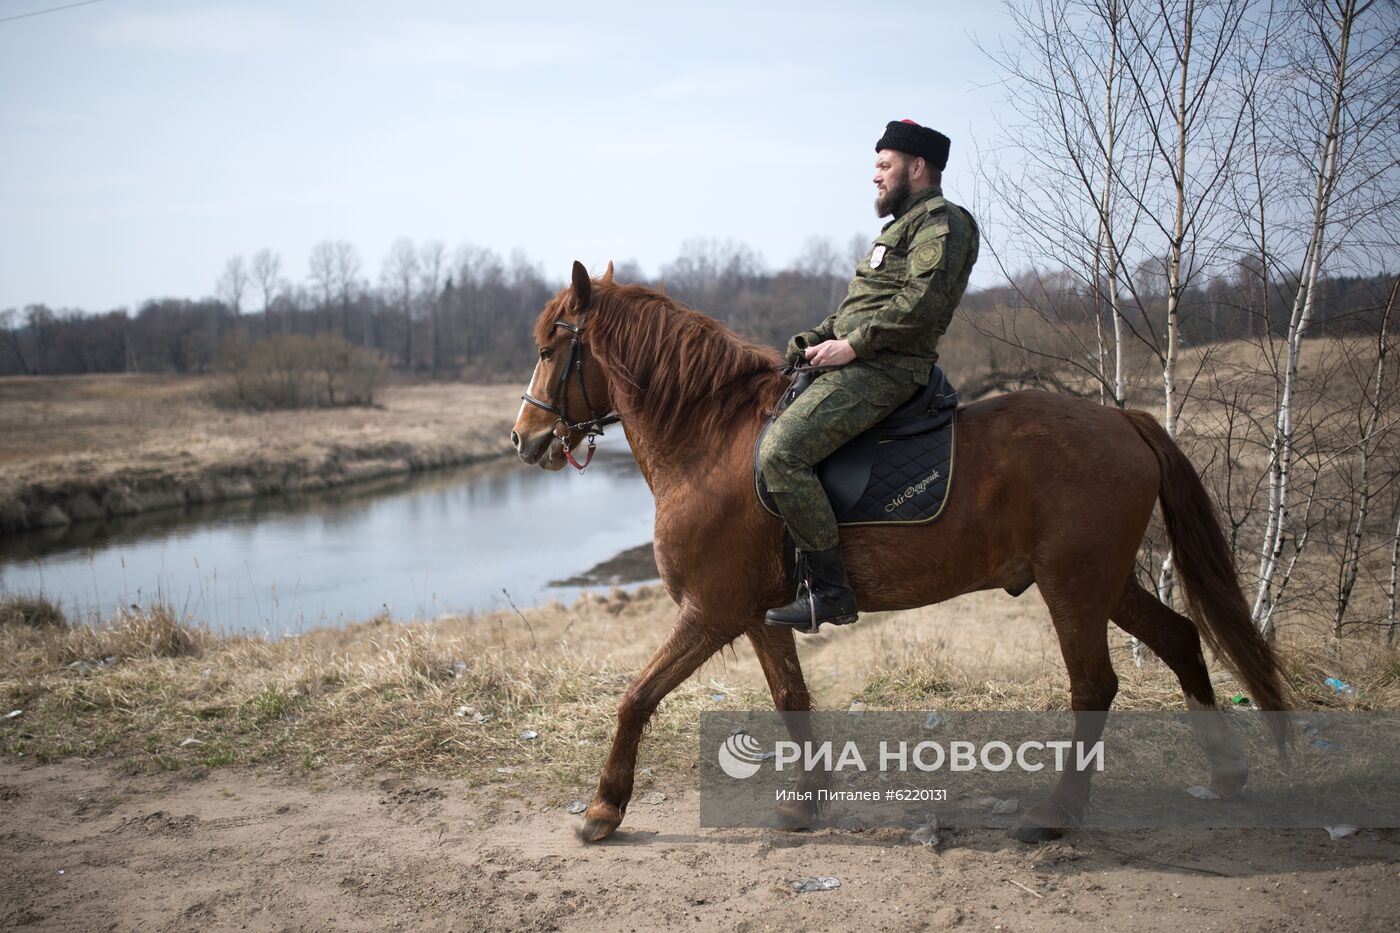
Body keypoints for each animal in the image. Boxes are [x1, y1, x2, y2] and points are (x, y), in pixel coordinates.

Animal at [509, 257, 1282, 840]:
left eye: (549, 349)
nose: (522, 438)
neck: (711, 440)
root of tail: (1124, 421)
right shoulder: (761, 615)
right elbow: (791, 697)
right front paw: (806, 800)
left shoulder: (710, 611)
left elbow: (636, 696)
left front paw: (603, 808)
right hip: (1104, 582)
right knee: (1180, 638)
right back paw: (1227, 772)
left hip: (1074, 586)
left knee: (1095, 686)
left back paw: (1057, 813)